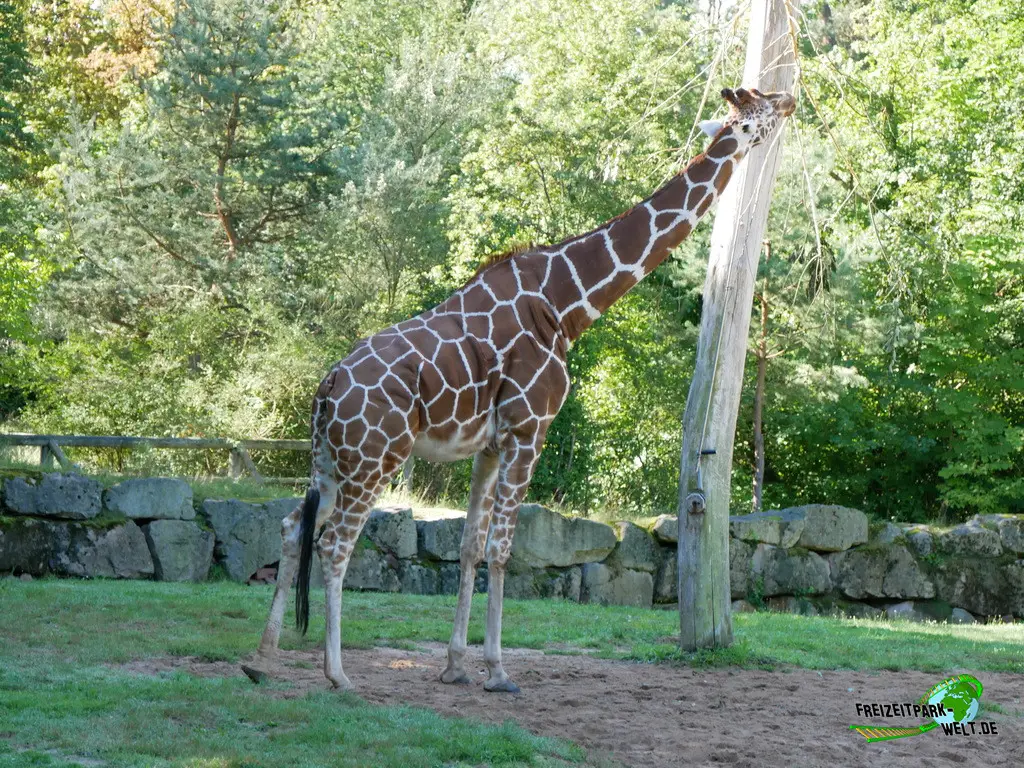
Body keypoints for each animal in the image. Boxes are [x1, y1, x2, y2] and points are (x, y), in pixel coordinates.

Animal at [256, 87, 796, 693]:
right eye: (759, 108)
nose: (792, 99)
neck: (565, 302)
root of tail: (326, 388)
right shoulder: (529, 430)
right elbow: (502, 550)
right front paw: (497, 670)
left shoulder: (489, 444)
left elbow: (468, 547)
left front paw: (455, 666)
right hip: (376, 458)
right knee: (334, 545)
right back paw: (338, 674)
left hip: (328, 461)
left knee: (290, 527)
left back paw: (263, 658)